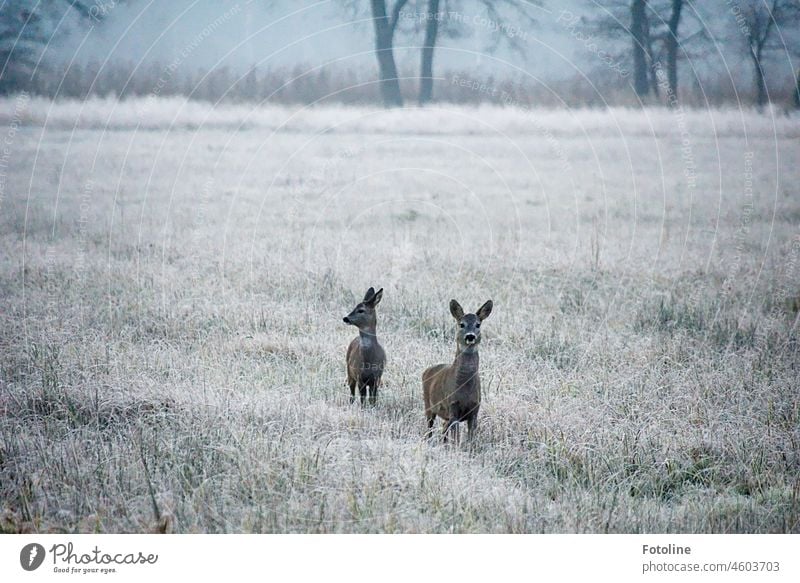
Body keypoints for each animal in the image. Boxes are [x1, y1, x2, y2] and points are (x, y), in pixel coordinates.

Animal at [422, 302, 490, 442]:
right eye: (461, 324)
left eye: (478, 324)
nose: (470, 336)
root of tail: (426, 371)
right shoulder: (452, 407)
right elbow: (456, 437)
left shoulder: (475, 409)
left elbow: (471, 438)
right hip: (428, 404)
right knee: (430, 427)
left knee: (443, 428)